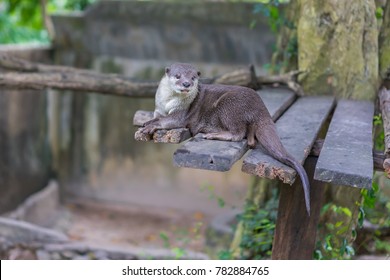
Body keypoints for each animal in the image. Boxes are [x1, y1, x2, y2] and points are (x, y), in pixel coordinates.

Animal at [141, 62, 310, 214]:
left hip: (228, 105)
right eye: (177, 76)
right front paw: (147, 121)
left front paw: (150, 125)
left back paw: (212, 134)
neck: (168, 102)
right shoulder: (158, 108)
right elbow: (157, 116)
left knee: (238, 133)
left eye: (194, 77)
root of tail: (261, 108)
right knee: (249, 138)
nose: (187, 83)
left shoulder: (181, 113)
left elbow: (166, 121)